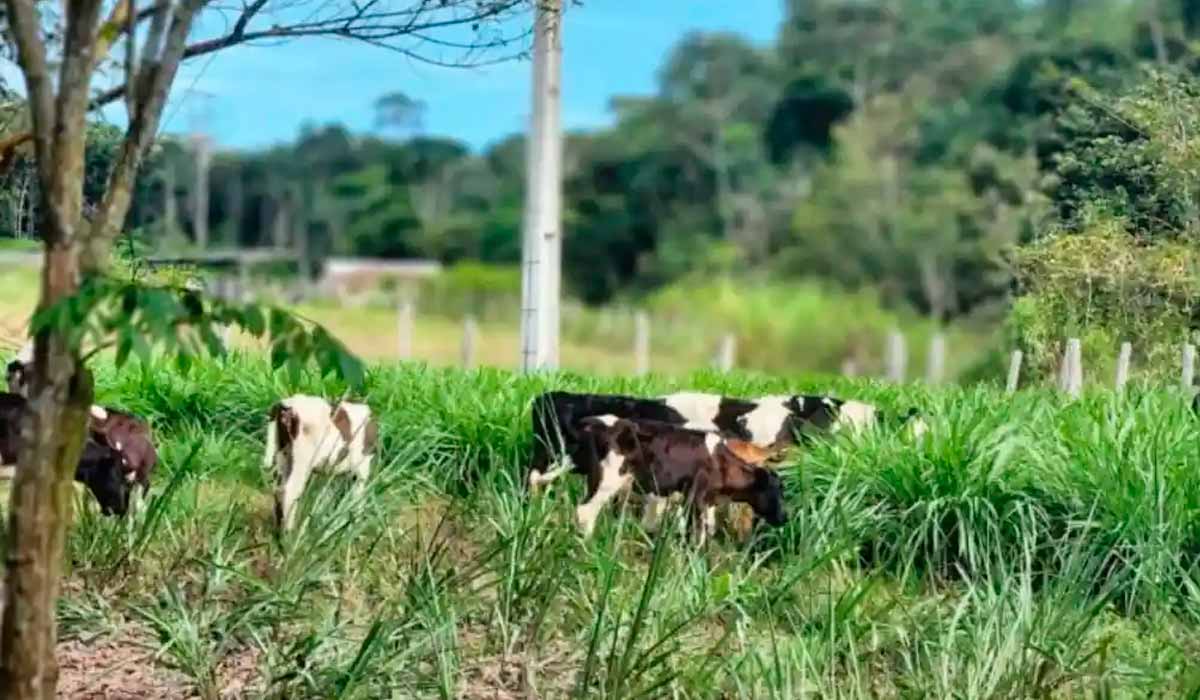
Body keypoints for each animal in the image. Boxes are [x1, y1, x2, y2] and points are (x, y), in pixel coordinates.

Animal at [265, 393, 376, 530]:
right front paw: (354, 524)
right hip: (303, 459)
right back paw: (289, 531)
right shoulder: (362, 467)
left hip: (283, 455)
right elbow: (357, 497)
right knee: (291, 491)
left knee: (278, 488)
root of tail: (286, 405)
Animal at [571, 415, 787, 542]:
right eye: (774, 491)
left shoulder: (706, 502)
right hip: (608, 479)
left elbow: (706, 530)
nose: (785, 517)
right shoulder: (695, 497)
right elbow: (696, 533)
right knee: (585, 511)